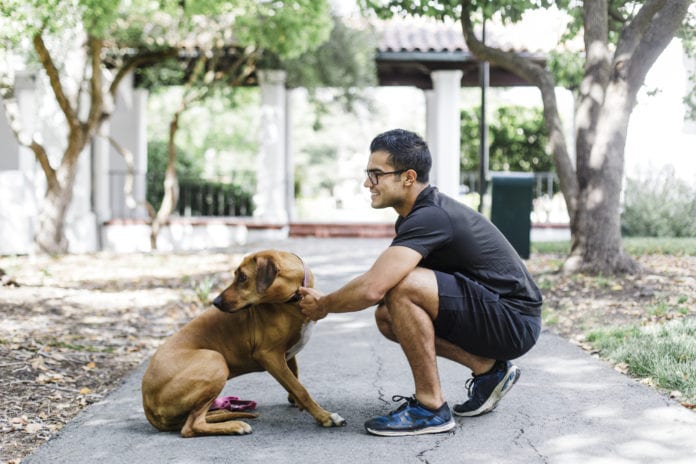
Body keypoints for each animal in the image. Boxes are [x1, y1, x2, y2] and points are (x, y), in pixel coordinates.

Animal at [141, 250, 346, 436]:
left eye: (242, 277)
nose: (215, 302)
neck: (291, 300)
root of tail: (147, 405)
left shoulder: (287, 354)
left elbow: (294, 378)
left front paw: (297, 401)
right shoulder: (269, 356)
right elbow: (300, 388)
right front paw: (324, 416)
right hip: (215, 360)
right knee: (191, 426)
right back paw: (234, 426)